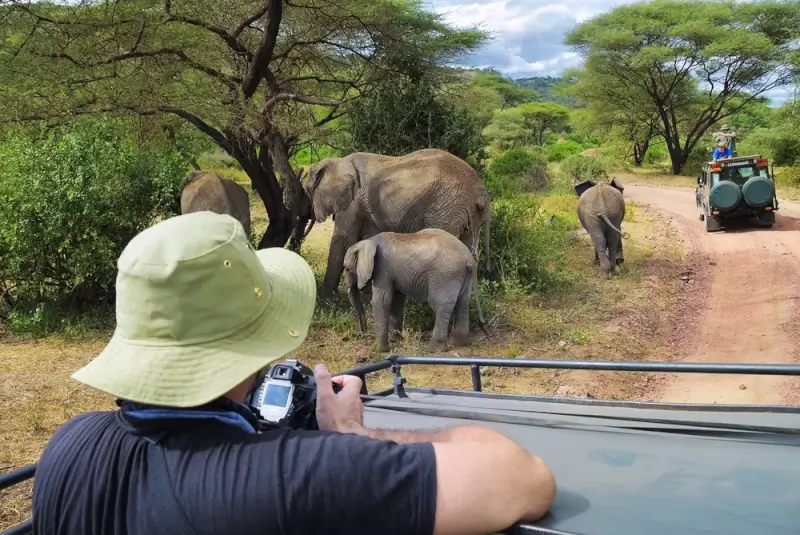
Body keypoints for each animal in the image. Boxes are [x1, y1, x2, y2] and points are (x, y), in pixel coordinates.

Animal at [301, 148, 492, 299]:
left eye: (306, 191)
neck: (337, 162)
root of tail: (480, 190)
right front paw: (367, 298)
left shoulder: (353, 202)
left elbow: (343, 240)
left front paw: (327, 299)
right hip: (467, 213)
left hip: (446, 208)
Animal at [343, 228, 489, 353]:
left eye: (347, 269)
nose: (363, 333)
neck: (369, 241)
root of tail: (470, 260)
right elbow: (397, 299)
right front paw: (396, 340)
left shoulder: (382, 269)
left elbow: (382, 300)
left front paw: (380, 350)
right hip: (463, 276)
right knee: (463, 304)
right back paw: (459, 343)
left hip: (445, 276)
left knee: (440, 306)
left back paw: (433, 349)